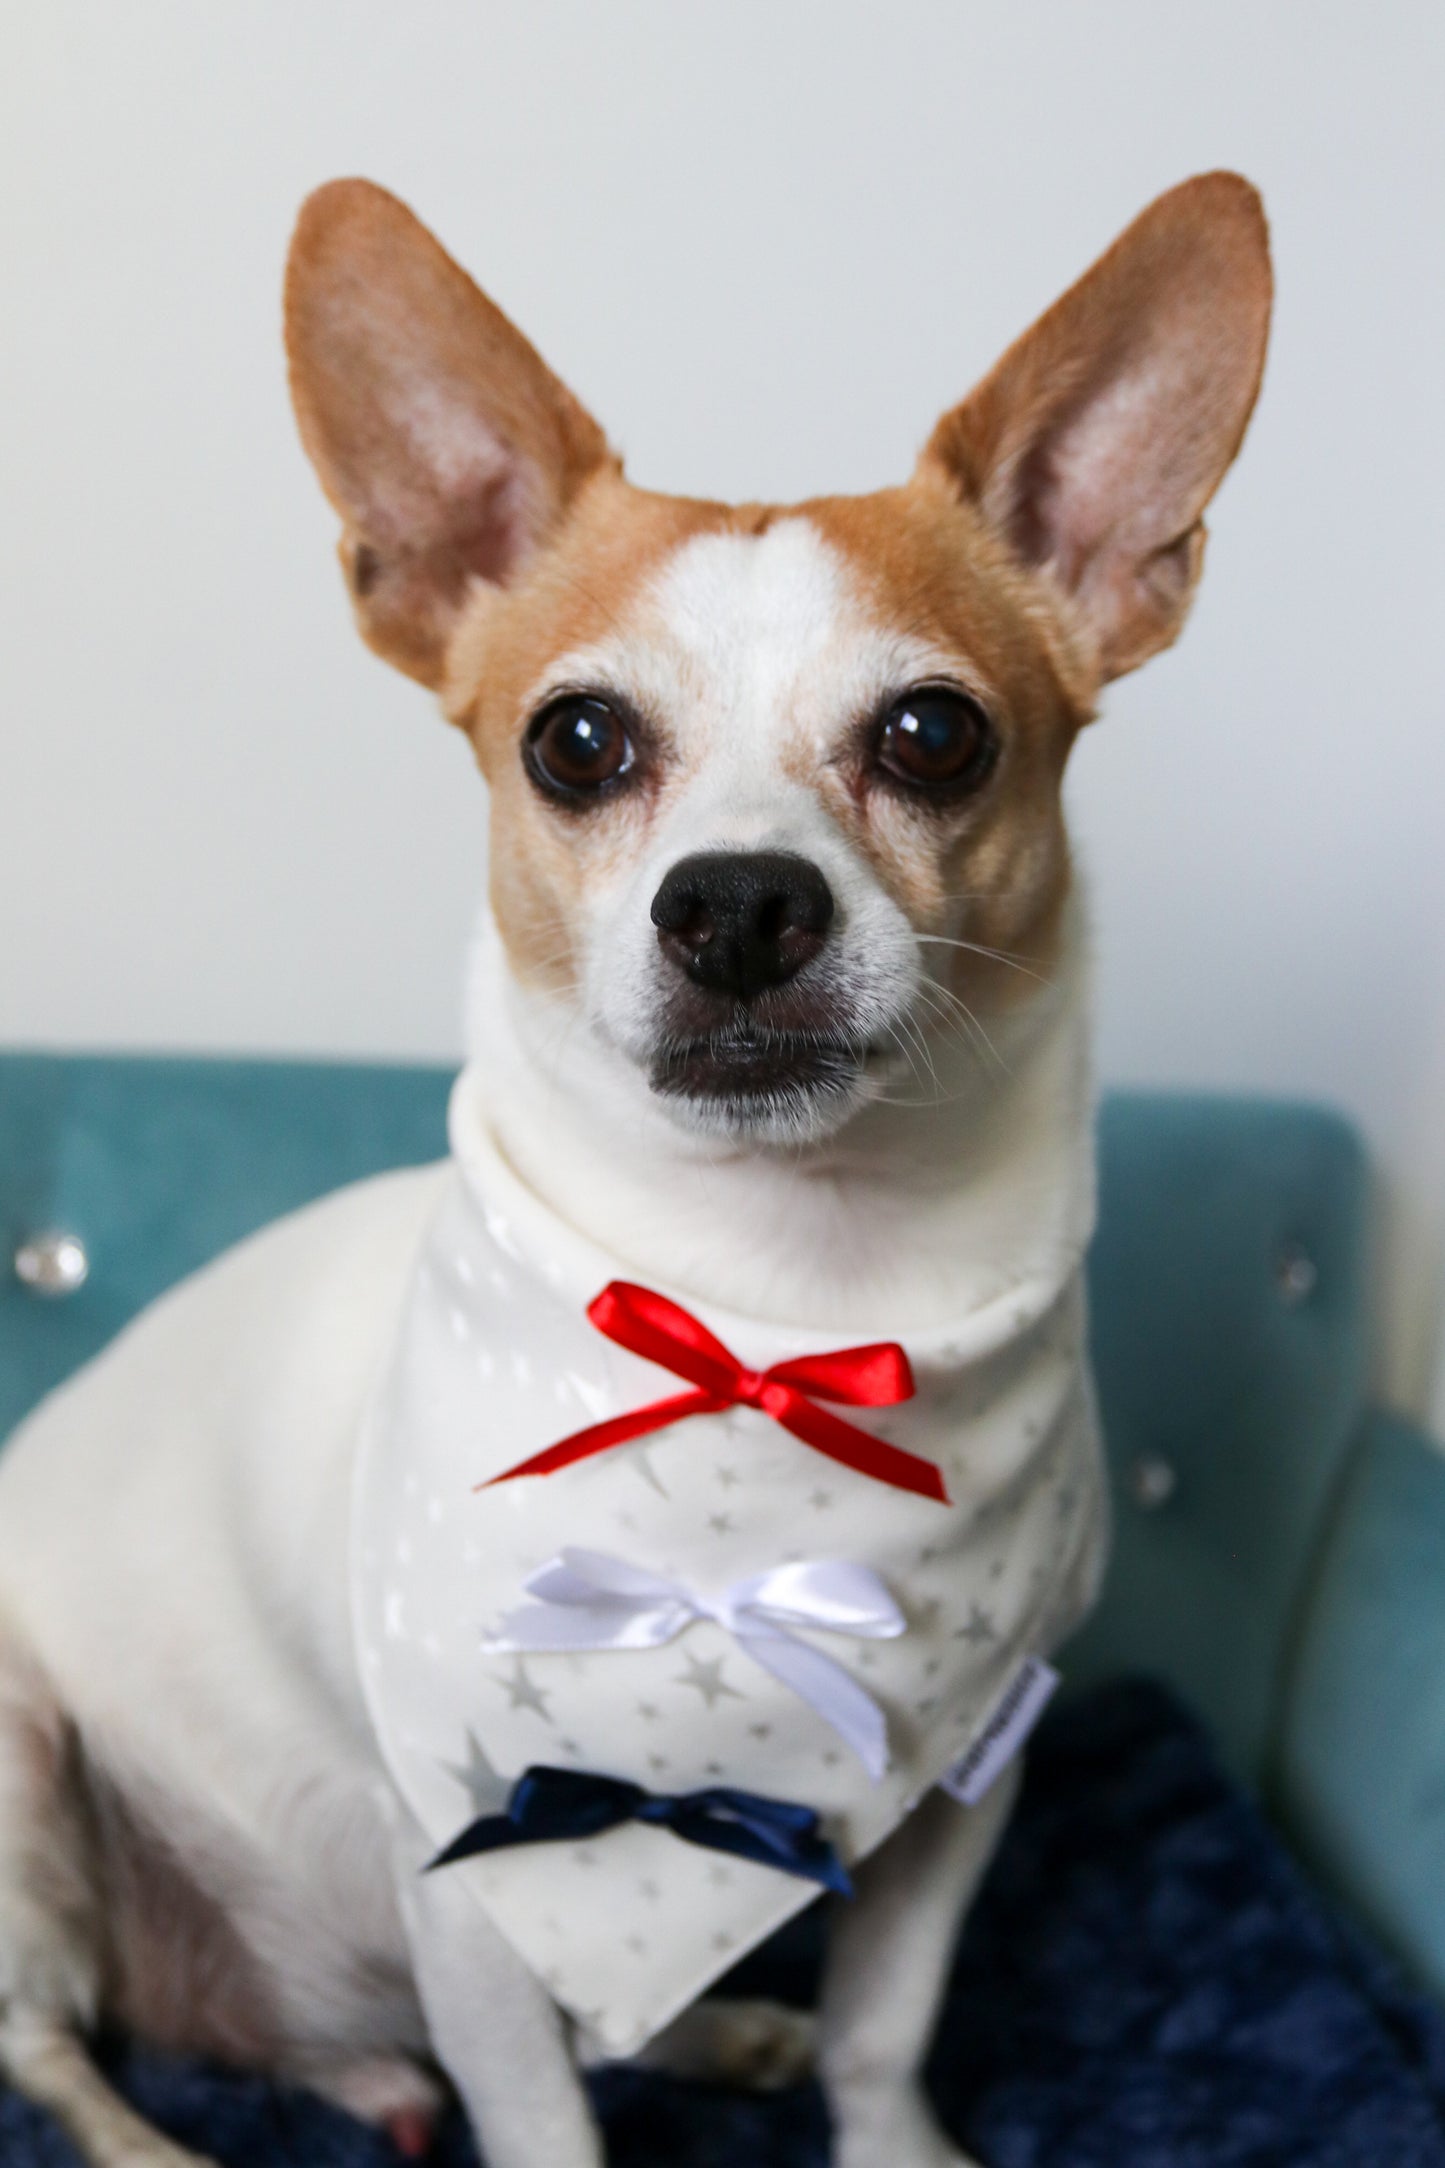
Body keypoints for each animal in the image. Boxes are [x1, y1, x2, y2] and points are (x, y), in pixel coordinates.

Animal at [0, 173, 1265, 2168]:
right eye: (576, 742)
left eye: (936, 733)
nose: (739, 899)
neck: (771, 1320)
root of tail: (263, 2025)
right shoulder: (476, 1858)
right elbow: (539, 2109)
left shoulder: (957, 1790)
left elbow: (882, 2026)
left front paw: (881, 2133)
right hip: (25, 1790)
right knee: (46, 2038)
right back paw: (144, 2142)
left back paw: (680, 2033)